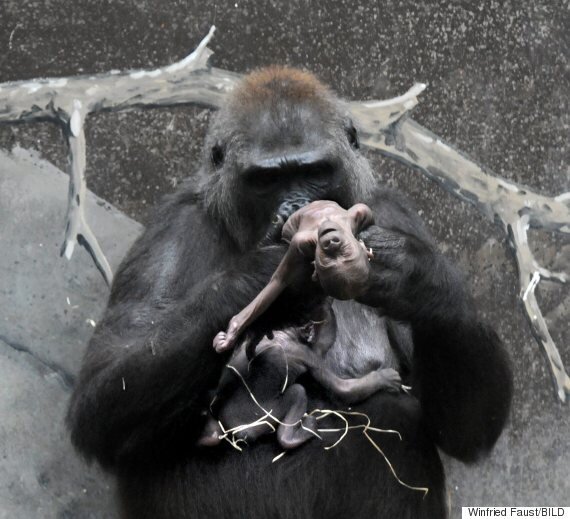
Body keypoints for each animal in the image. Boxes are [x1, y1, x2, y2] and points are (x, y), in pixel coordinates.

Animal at [200, 318, 400, 448]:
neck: (284, 333)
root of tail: (236, 431)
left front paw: (221, 340)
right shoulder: (306, 353)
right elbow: (343, 389)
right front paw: (383, 378)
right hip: (262, 419)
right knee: (297, 393)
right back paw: (294, 436)